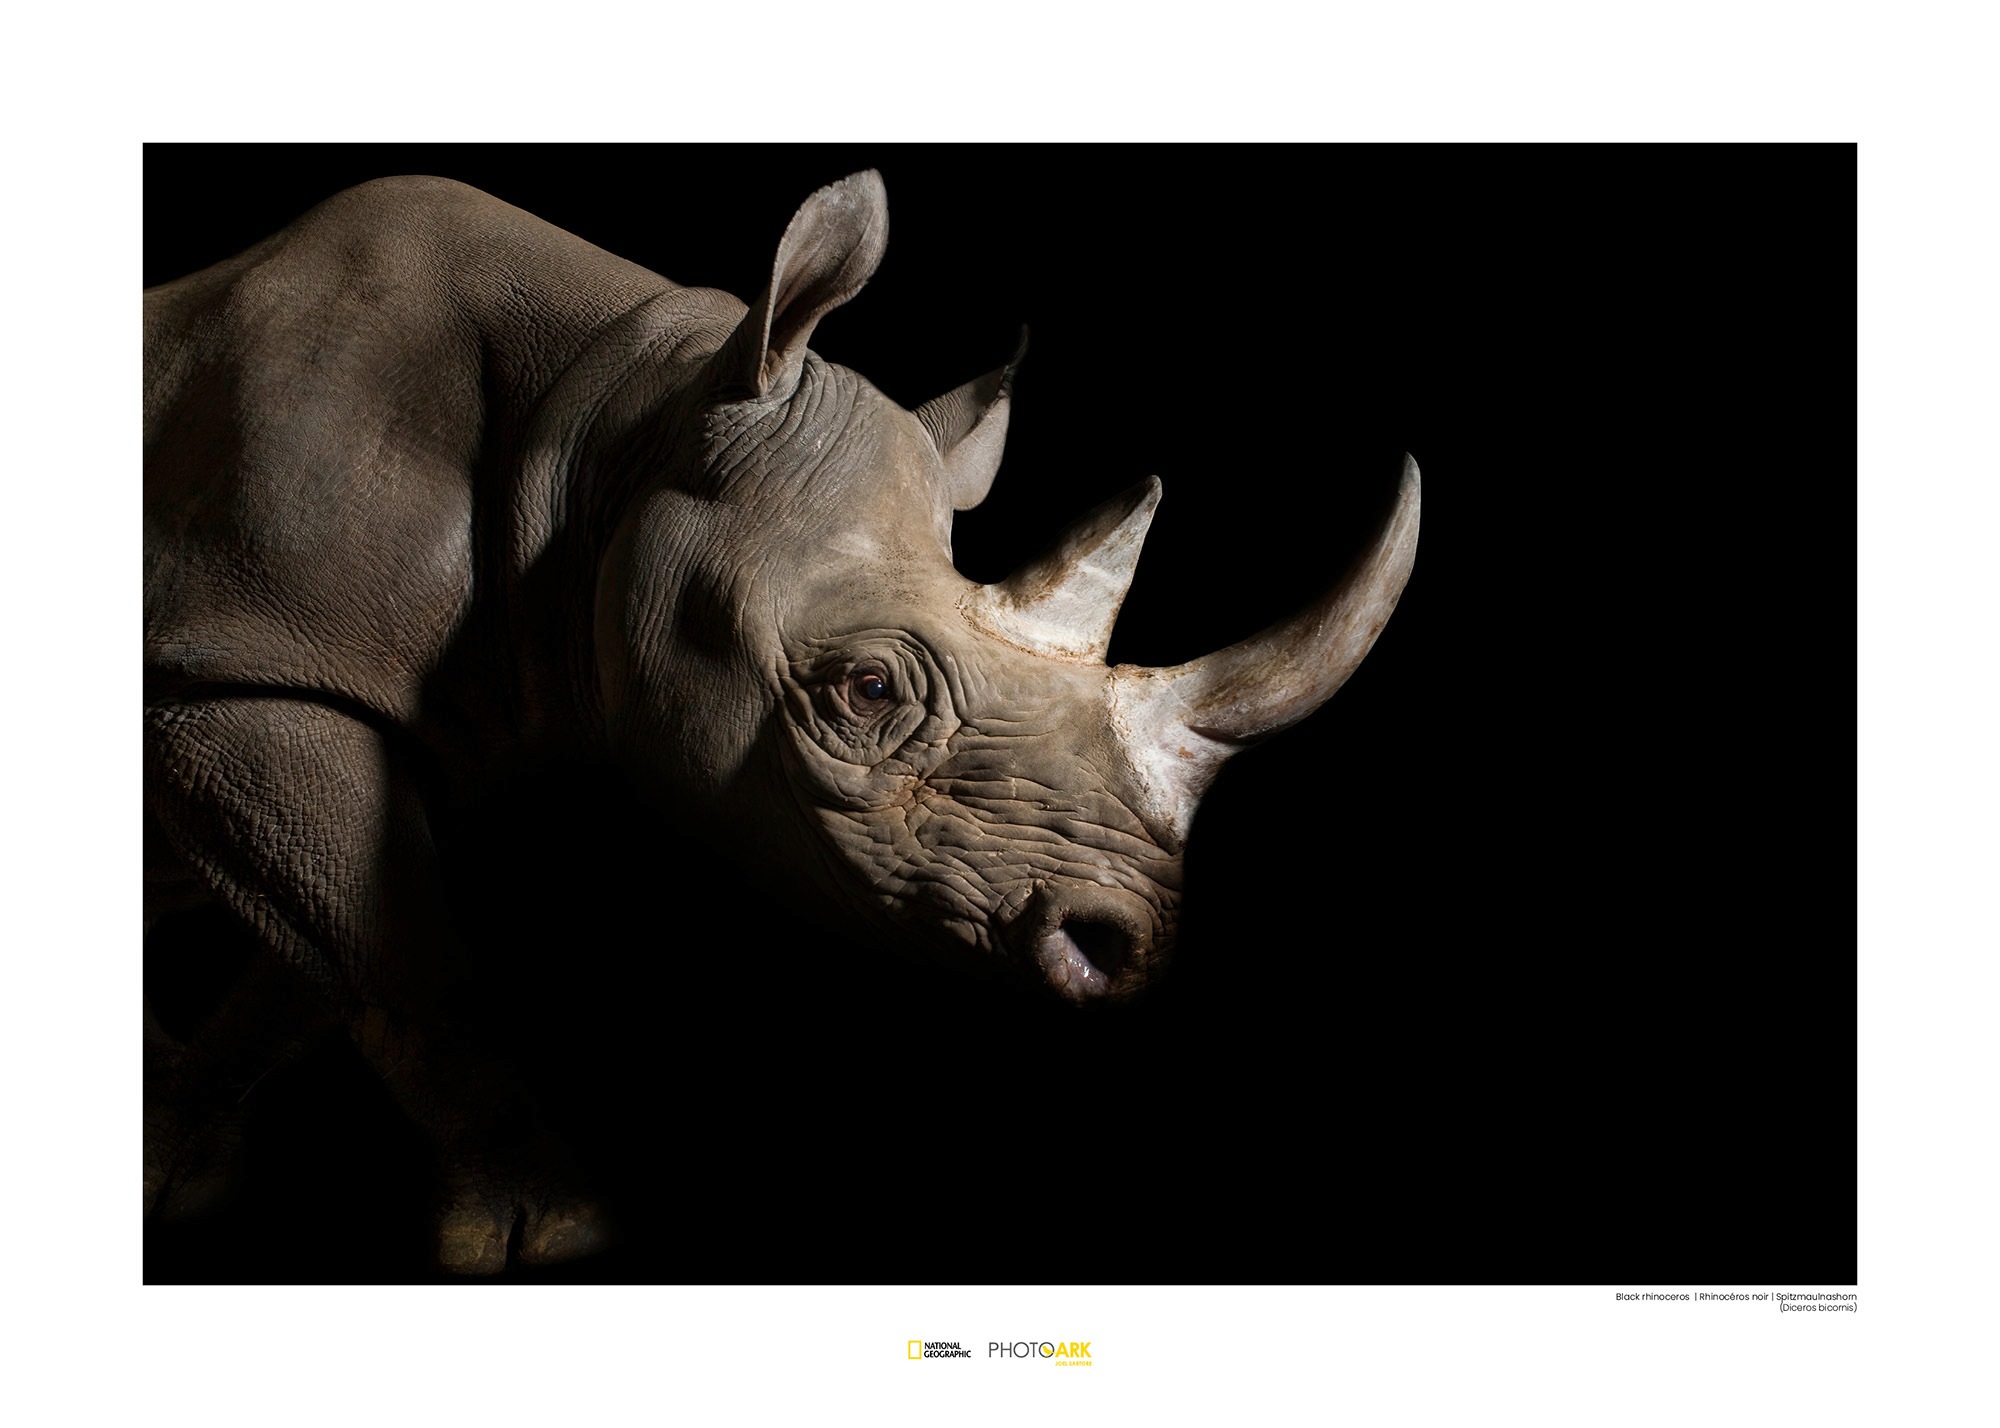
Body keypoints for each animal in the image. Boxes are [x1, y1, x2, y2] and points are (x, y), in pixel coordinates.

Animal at [143, 170, 1419, 1273]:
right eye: (868, 690)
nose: (1122, 949)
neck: (616, 424)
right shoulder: (237, 671)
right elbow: (399, 944)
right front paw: (547, 1232)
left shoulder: (383, 712)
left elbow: (332, 942)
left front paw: (172, 1164)